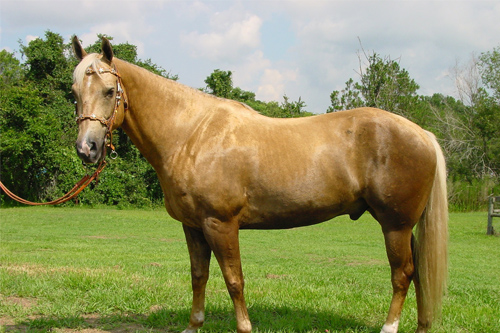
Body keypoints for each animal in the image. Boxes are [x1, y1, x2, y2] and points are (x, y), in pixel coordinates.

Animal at [71, 37, 450, 332]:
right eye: (74, 92)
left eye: (109, 91)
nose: (87, 148)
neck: (191, 134)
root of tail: (423, 134)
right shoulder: (193, 226)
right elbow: (198, 276)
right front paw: (194, 325)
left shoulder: (221, 224)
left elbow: (233, 280)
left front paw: (244, 326)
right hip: (404, 227)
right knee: (417, 274)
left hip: (395, 225)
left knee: (402, 274)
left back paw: (389, 326)